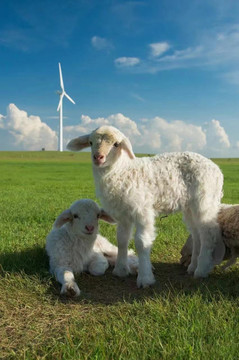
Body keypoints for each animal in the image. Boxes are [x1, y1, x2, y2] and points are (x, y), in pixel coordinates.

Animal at [67, 125, 224, 288]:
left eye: (116, 144)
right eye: (90, 142)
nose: (98, 157)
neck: (122, 170)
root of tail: (217, 169)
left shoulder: (142, 210)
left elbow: (142, 243)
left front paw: (145, 278)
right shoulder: (123, 214)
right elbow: (121, 240)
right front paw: (120, 270)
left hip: (205, 200)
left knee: (208, 233)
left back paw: (201, 270)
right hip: (190, 206)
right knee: (196, 233)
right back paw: (193, 267)